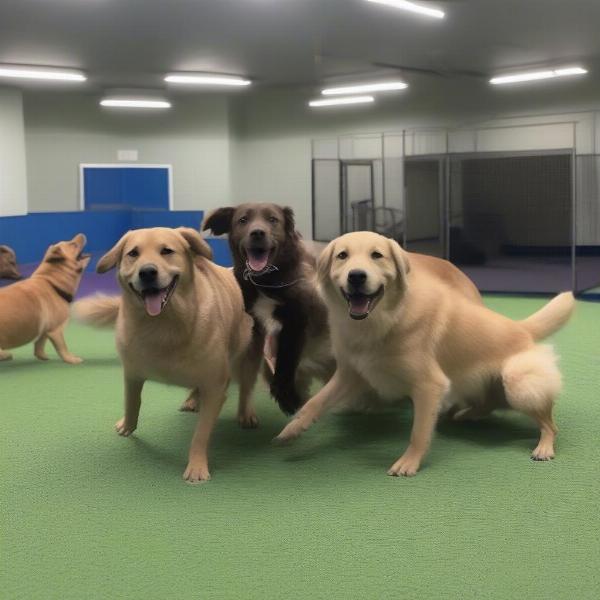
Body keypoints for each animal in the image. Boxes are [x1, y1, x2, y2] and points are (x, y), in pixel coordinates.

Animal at [0, 233, 90, 364]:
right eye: (73, 244)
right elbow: (63, 348)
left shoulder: (45, 330)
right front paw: (71, 359)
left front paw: (41, 356)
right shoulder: (56, 330)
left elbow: (40, 343)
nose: (81, 234)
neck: (51, 282)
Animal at [73, 227, 258, 486]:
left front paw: (197, 466)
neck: (162, 326)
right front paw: (127, 426)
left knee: (246, 387)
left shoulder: (215, 387)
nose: (147, 272)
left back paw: (245, 412)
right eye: (133, 253)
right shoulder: (132, 374)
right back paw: (193, 398)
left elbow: (201, 434)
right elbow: (132, 403)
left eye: (167, 251)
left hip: (247, 353)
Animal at [276, 232, 576, 476]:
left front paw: (409, 463)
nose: (357, 276)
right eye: (342, 255)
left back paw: (544, 447)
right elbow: (315, 403)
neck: (385, 320)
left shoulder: (429, 385)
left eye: (377, 255)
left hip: (518, 382)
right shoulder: (350, 375)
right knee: (489, 403)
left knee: (550, 424)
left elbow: (418, 432)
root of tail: (522, 328)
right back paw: (466, 415)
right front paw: (293, 428)